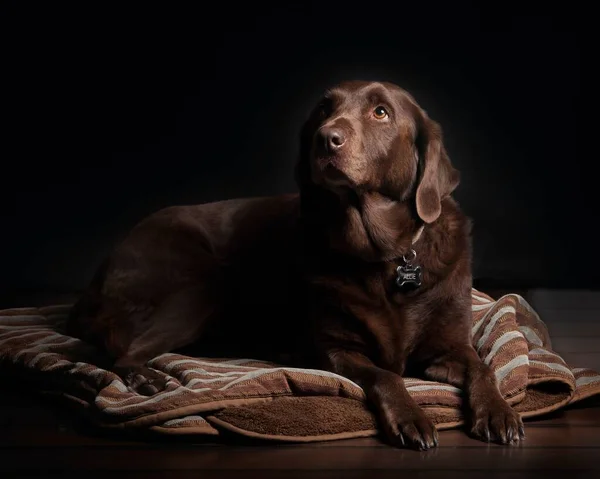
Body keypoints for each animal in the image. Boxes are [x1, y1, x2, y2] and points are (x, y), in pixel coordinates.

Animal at [67, 79, 524, 450]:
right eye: (324, 109)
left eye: (381, 111)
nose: (326, 138)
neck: (383, 255)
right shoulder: (338, 349)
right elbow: (387, 376)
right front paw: (412, 416)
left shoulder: (449, 347)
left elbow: (484, 368)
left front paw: (498, 412)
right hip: (198, 288)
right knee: (117, 349)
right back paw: (150, 377)